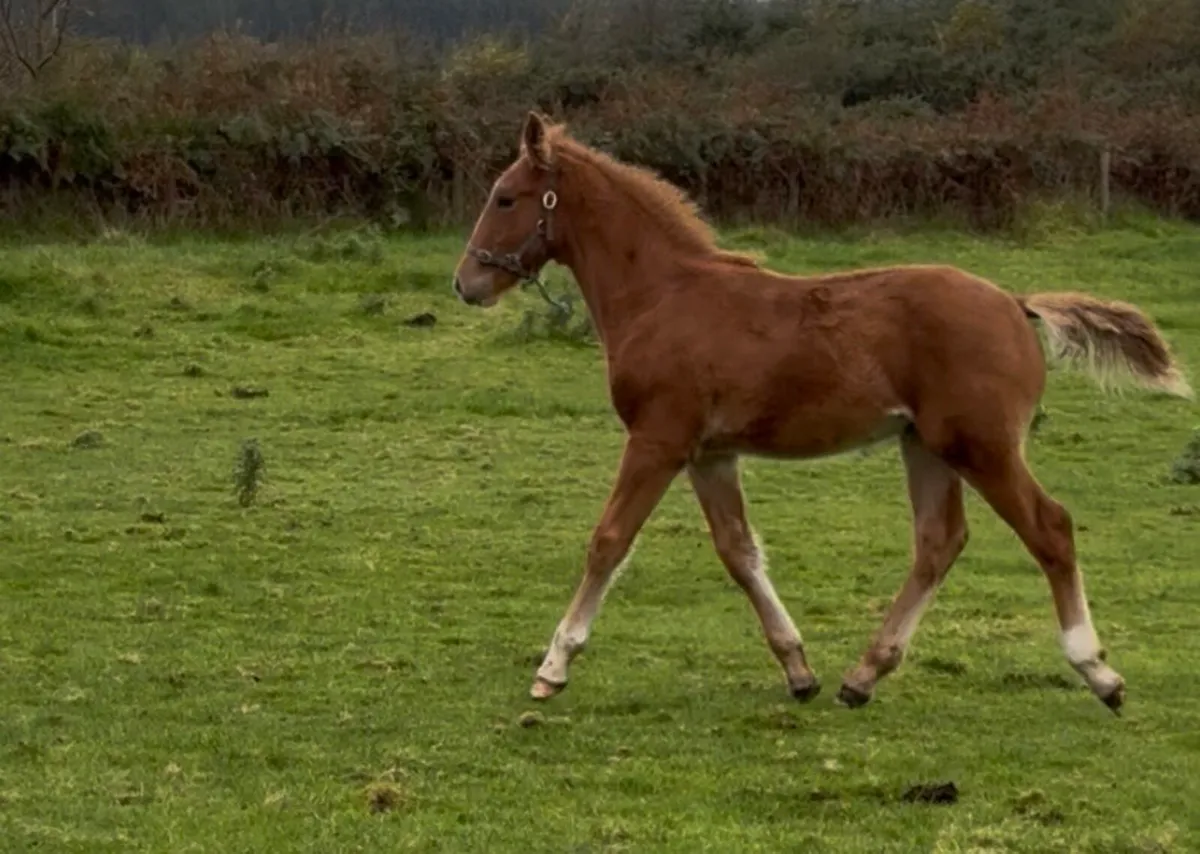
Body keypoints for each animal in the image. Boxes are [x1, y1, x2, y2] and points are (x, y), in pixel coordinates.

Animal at [452, 111, 1192, 714]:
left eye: (505, 197)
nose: (466, 283)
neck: (664, 295)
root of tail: (1016, 303)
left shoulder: (658, 439)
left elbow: (608, 540)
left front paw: (552, 667)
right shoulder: (709, 453)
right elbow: (739, 551)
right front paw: (798, 670)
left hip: (981, 444)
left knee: (1050, 529)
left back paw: (1099, 673)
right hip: (925, 444)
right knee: (939, 541)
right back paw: (861, 677)